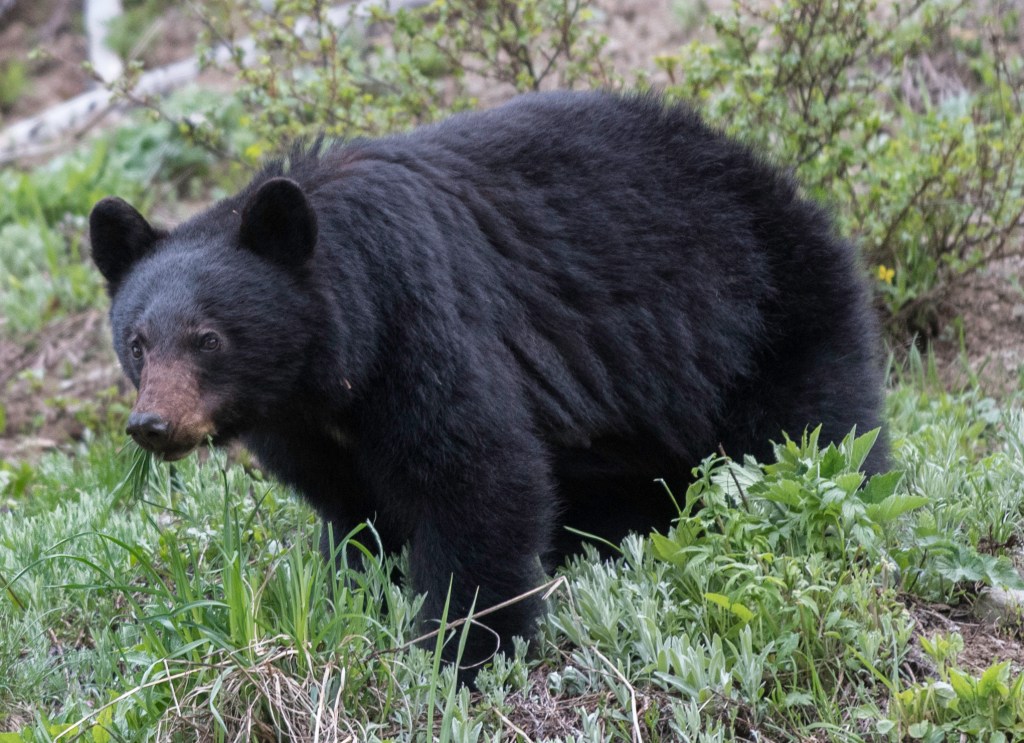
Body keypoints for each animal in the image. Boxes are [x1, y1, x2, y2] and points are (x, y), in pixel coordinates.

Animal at [88, 91, 887, 681]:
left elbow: (477, 474)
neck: (330, 362)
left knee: (813, 429)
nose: (153, 424)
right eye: (137, 342)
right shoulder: (301, 422)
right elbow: (352, 509)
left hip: (764, 316)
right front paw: (357, 588)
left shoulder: (420, 321)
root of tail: (772, 176)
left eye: (209, 338)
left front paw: (462, 651)